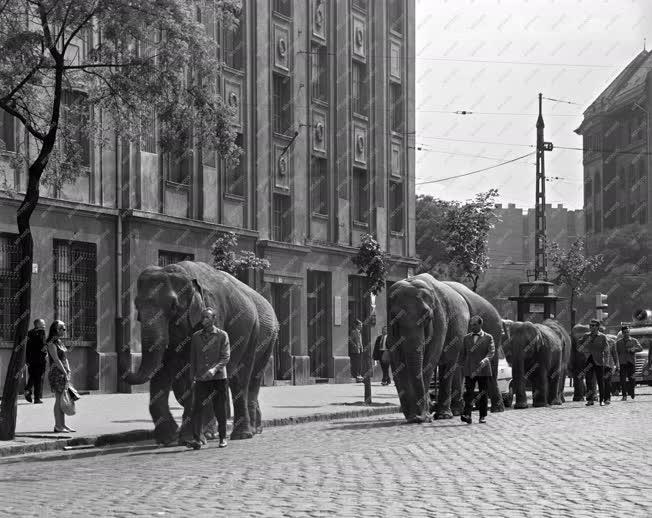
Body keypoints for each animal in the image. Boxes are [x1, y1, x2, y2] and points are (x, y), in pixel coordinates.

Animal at [124, 262, 278, 444]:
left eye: (174, 306)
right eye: (136, 305)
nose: (127, 365)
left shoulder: (212, 311)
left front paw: (189, 439)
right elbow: (163, 369)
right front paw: (169, 438)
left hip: (257, 335)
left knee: (243, 379)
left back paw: (243, 434)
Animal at [388, 274, 504, 424]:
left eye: (427, 317)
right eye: (395, 317)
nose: (420, 417)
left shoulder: (440, 319)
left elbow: (430, 360)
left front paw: (422, 417)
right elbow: (395, 360)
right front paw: (413, 417)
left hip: (494, 329)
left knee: (484, 368)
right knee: (457, 367)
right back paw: (455, 412)